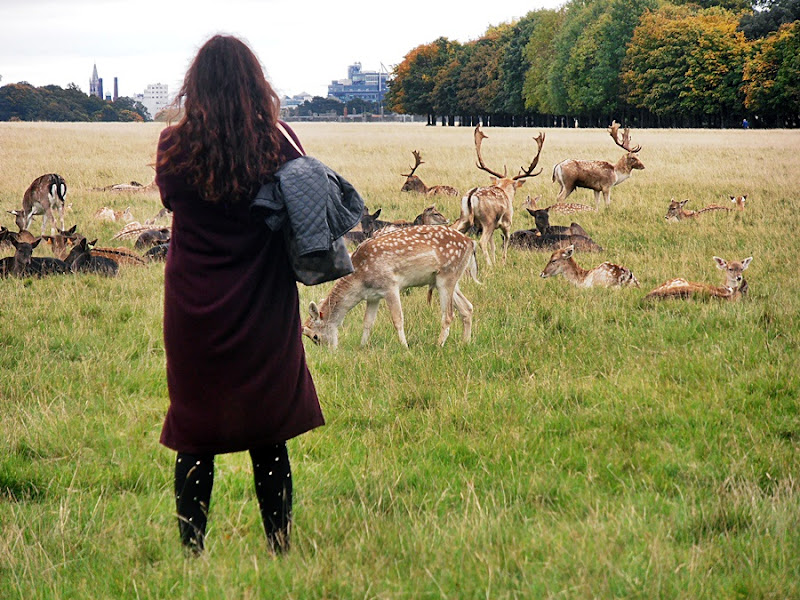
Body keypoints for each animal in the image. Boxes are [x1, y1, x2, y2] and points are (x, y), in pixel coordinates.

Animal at [300, 224, 476, 346]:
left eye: (315, 336)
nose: (331, 351)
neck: (360, 279)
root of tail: (470, 242)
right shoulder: (372, 296)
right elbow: (367, 322)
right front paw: (362, 346)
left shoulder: (390, 285)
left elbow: (398, 319)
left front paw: (405, 347)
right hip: (448, 279)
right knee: (467, 307)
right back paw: (465, 343)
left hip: (447, 275)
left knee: (449, 315)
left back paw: (438, 345)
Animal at [454, 125, 548, 266]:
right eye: (515, 188)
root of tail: (471, 196)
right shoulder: (507, 222)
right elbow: (506, 240)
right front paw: (502, 262)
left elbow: (493, 245)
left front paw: (495, 261)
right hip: (488, 220)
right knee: (482, 242)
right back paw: (488, 264)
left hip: (465, 218)